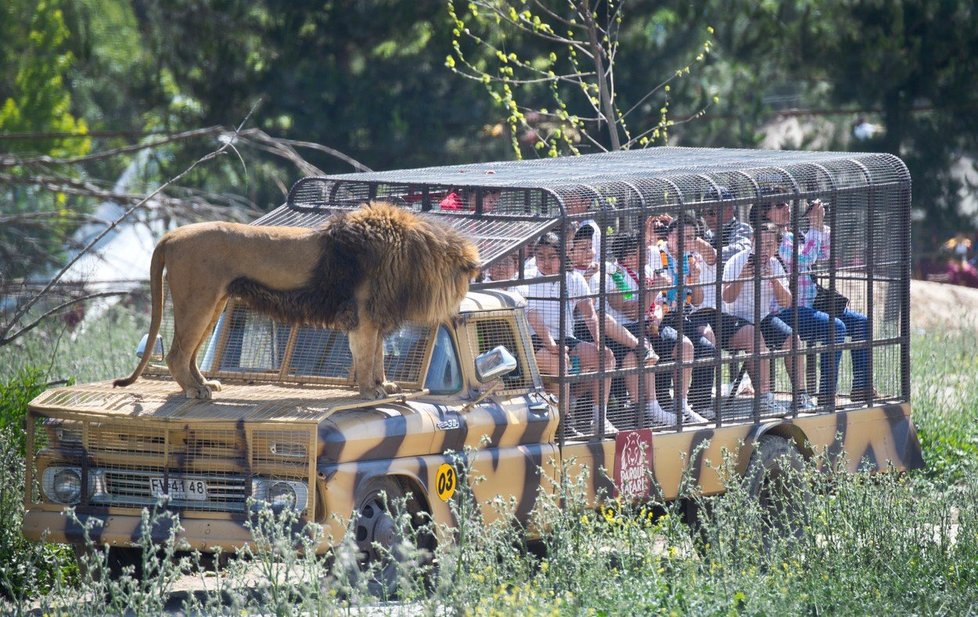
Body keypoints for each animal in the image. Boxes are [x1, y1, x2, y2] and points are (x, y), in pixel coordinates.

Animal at [112, 203, 478, 400]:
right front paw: (370, 392)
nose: (473, 270)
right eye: (460, 272)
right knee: (176, 354)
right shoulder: (362, 315)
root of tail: (171, 235)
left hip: (214, 303)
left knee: (189, 355)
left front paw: (384, 385)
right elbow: (366, 357)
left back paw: (205, 384)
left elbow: (378, 356)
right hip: (198, 300)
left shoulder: (374, 315)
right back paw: (194, 390)